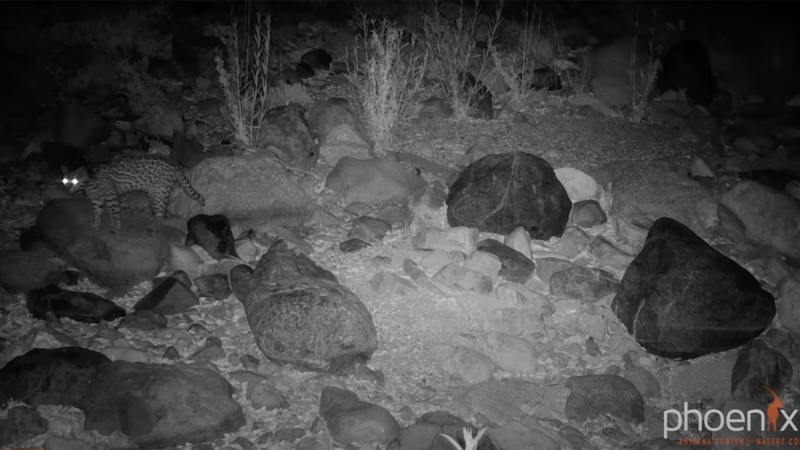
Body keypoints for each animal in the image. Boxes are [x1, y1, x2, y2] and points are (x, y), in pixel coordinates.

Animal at [63, 155, 206, 234]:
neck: (90, 181)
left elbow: (115, 214)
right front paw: (96, 224)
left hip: (159, 194)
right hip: (154, 194)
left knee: (161, 216)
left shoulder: (112, 197)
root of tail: (174, 163)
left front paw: (115, 228)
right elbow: (97, 213)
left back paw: (153, 229)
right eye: (64, 181)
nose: (66, 190)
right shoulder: (96, 200)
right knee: (158, 214)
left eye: (74, 181)